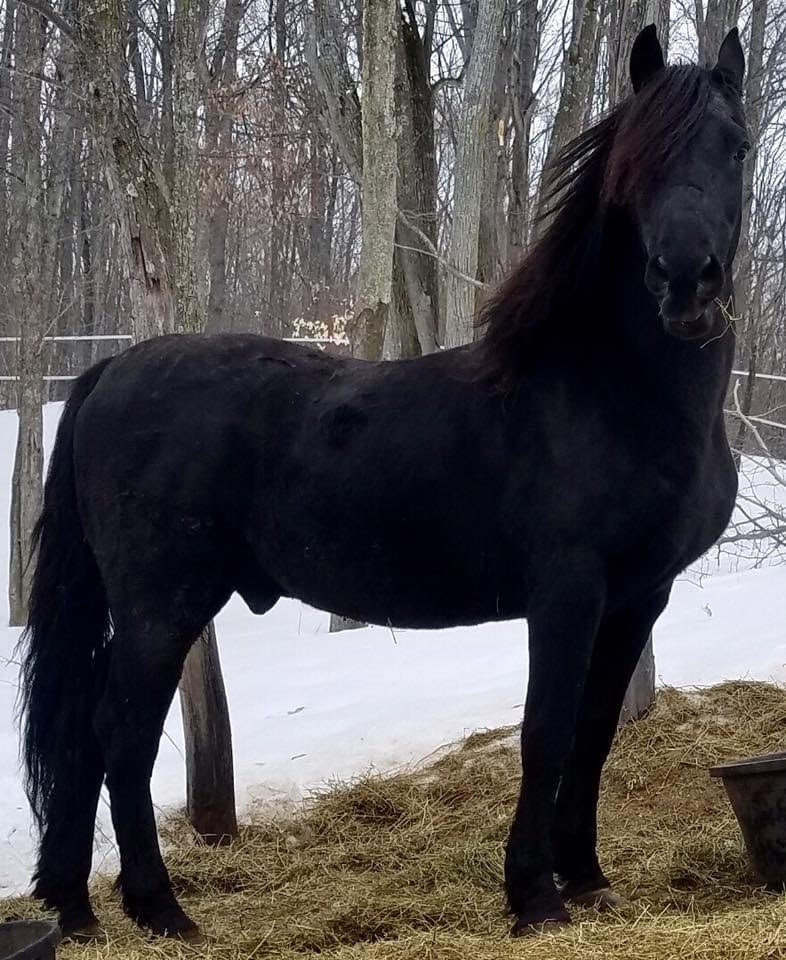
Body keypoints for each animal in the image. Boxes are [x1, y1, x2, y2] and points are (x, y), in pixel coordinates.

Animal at [19, 24, 747, 940]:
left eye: (738, 146)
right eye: (637, 162)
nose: (687, 280)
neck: (609, 393)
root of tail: (112, 368)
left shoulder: (636, 598)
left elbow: (594, 735)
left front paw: (585, 878)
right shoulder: (568, 591)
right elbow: (546, 733)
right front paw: (534, 896)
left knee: (84, 737)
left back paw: (76, 911)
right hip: (161, 606)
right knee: (121, 736)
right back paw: (160, 909)